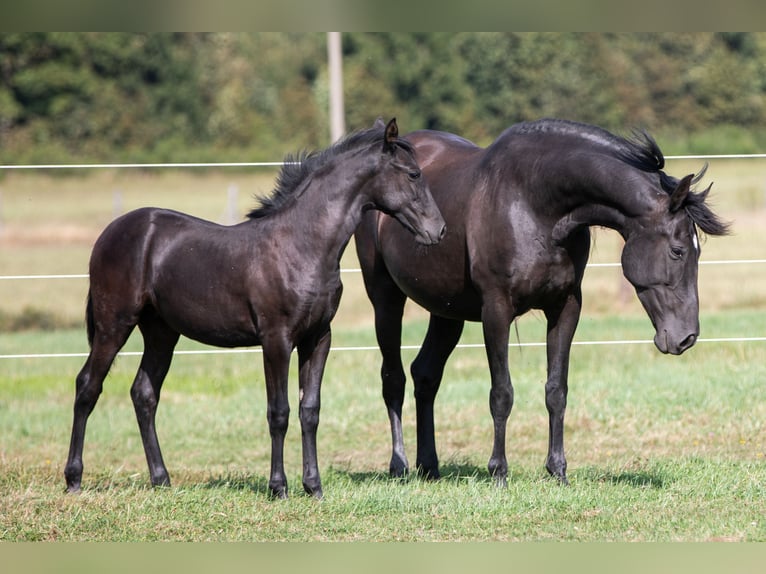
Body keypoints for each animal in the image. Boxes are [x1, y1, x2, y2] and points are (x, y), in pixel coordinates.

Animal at [67, 118, 450, 500]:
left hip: (161, 332)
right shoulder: (276, 339)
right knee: (87, 386)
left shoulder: (317, 338)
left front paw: (313, 486)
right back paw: (73, 479)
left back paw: (161, 479)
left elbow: (310, 410)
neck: (302, 246)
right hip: (114, 324)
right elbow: (278, 412)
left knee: (144, 394)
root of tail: (110, 232)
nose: (439, 230)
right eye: (413, 174)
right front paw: (278, 486)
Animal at [356, 119, 728, 488]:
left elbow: (556, 390)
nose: (686, 337)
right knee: (394, 379)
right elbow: (502, 393)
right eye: (678, 251)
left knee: (426, 375)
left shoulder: (565, 307)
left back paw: (429, 467)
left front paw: (558, 470)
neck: (535, 203)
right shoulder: (496, 310)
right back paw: (400, 466)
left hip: (446, 311)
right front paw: (499, 473)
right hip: (385, 298)